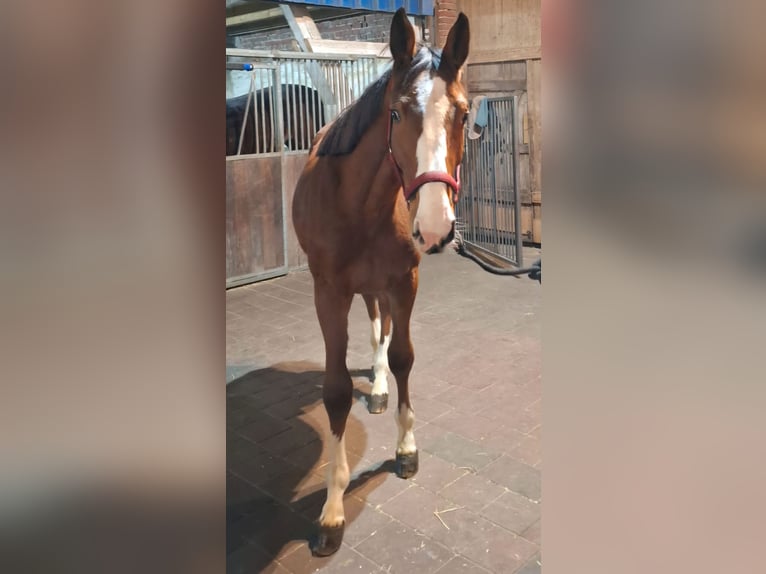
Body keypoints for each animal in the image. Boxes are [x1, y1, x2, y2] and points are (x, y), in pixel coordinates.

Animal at [294, 7, 474, 560]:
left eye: (464, 114)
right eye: (395, 114)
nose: (435, 228)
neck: (359, 204)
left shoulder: (404, 281)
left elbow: (403, 358)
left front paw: (407, 450)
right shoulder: (327, 292)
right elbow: (334, 390)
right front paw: (331, 512)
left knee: (383, 330)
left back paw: (376, 388)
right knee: (374, 326)